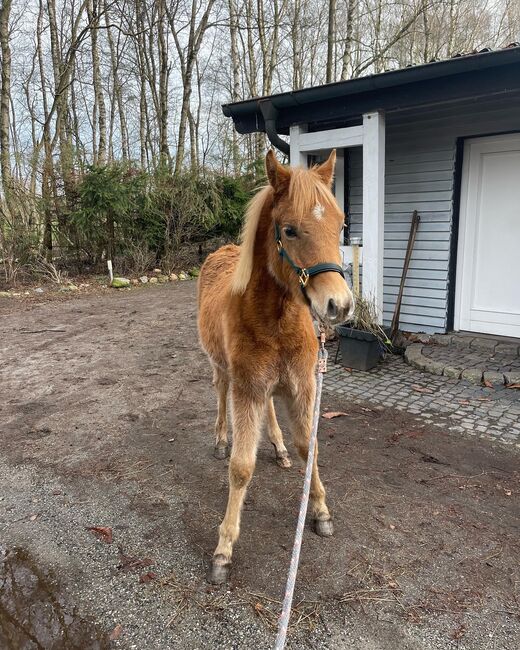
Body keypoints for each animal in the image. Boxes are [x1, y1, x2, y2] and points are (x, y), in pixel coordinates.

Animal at [198, 152, 354, 584]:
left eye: (341, 225)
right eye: (290, 230)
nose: (339, 305)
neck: (277, 320)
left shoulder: (301, 387)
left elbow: (309, 448)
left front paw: (320, 511)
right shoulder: (247, 388)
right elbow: (241, 467)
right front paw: (224, 549)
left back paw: (279, 446)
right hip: (224, 371)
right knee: (220, 394)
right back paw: (220, 439)